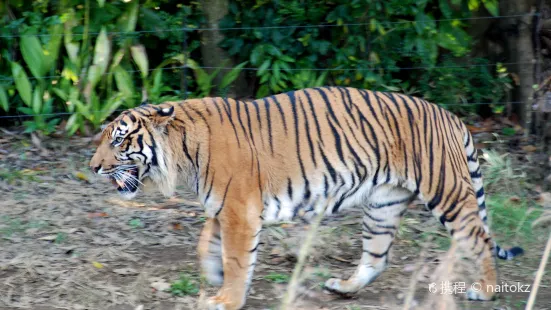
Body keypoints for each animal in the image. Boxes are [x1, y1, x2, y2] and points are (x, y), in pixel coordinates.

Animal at [90, 86, 528, 308]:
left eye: (119, 140)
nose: (92, 167)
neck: (183, 152)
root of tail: (452, 117)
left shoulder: (238, 210)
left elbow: (236, 259)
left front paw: (226, 298)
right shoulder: (221, 207)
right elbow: (206, 245)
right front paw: (213, 276)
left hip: (446, 193)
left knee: (480, 238)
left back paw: (485, 290)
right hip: (382, 204)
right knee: (377, 256)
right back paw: (343, 288)